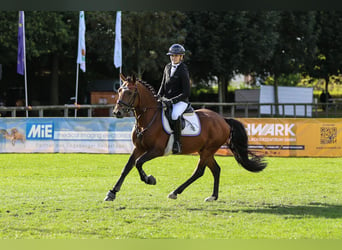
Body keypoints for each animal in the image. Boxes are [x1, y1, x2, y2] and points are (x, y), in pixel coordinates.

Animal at [104, 73, 268, 201]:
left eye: (130, 93)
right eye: (119, 90)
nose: (117, 112)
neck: (147, 119)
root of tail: (223, 120)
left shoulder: (157, 150)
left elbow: (138, 163)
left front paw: (149, 179)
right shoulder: (138, 148)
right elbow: (127, 167)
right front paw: (112, 192)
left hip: (208, 150)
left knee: (199, 172)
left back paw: (175, 192)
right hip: (205, 151)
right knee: (216, 170)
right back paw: (213, 196)